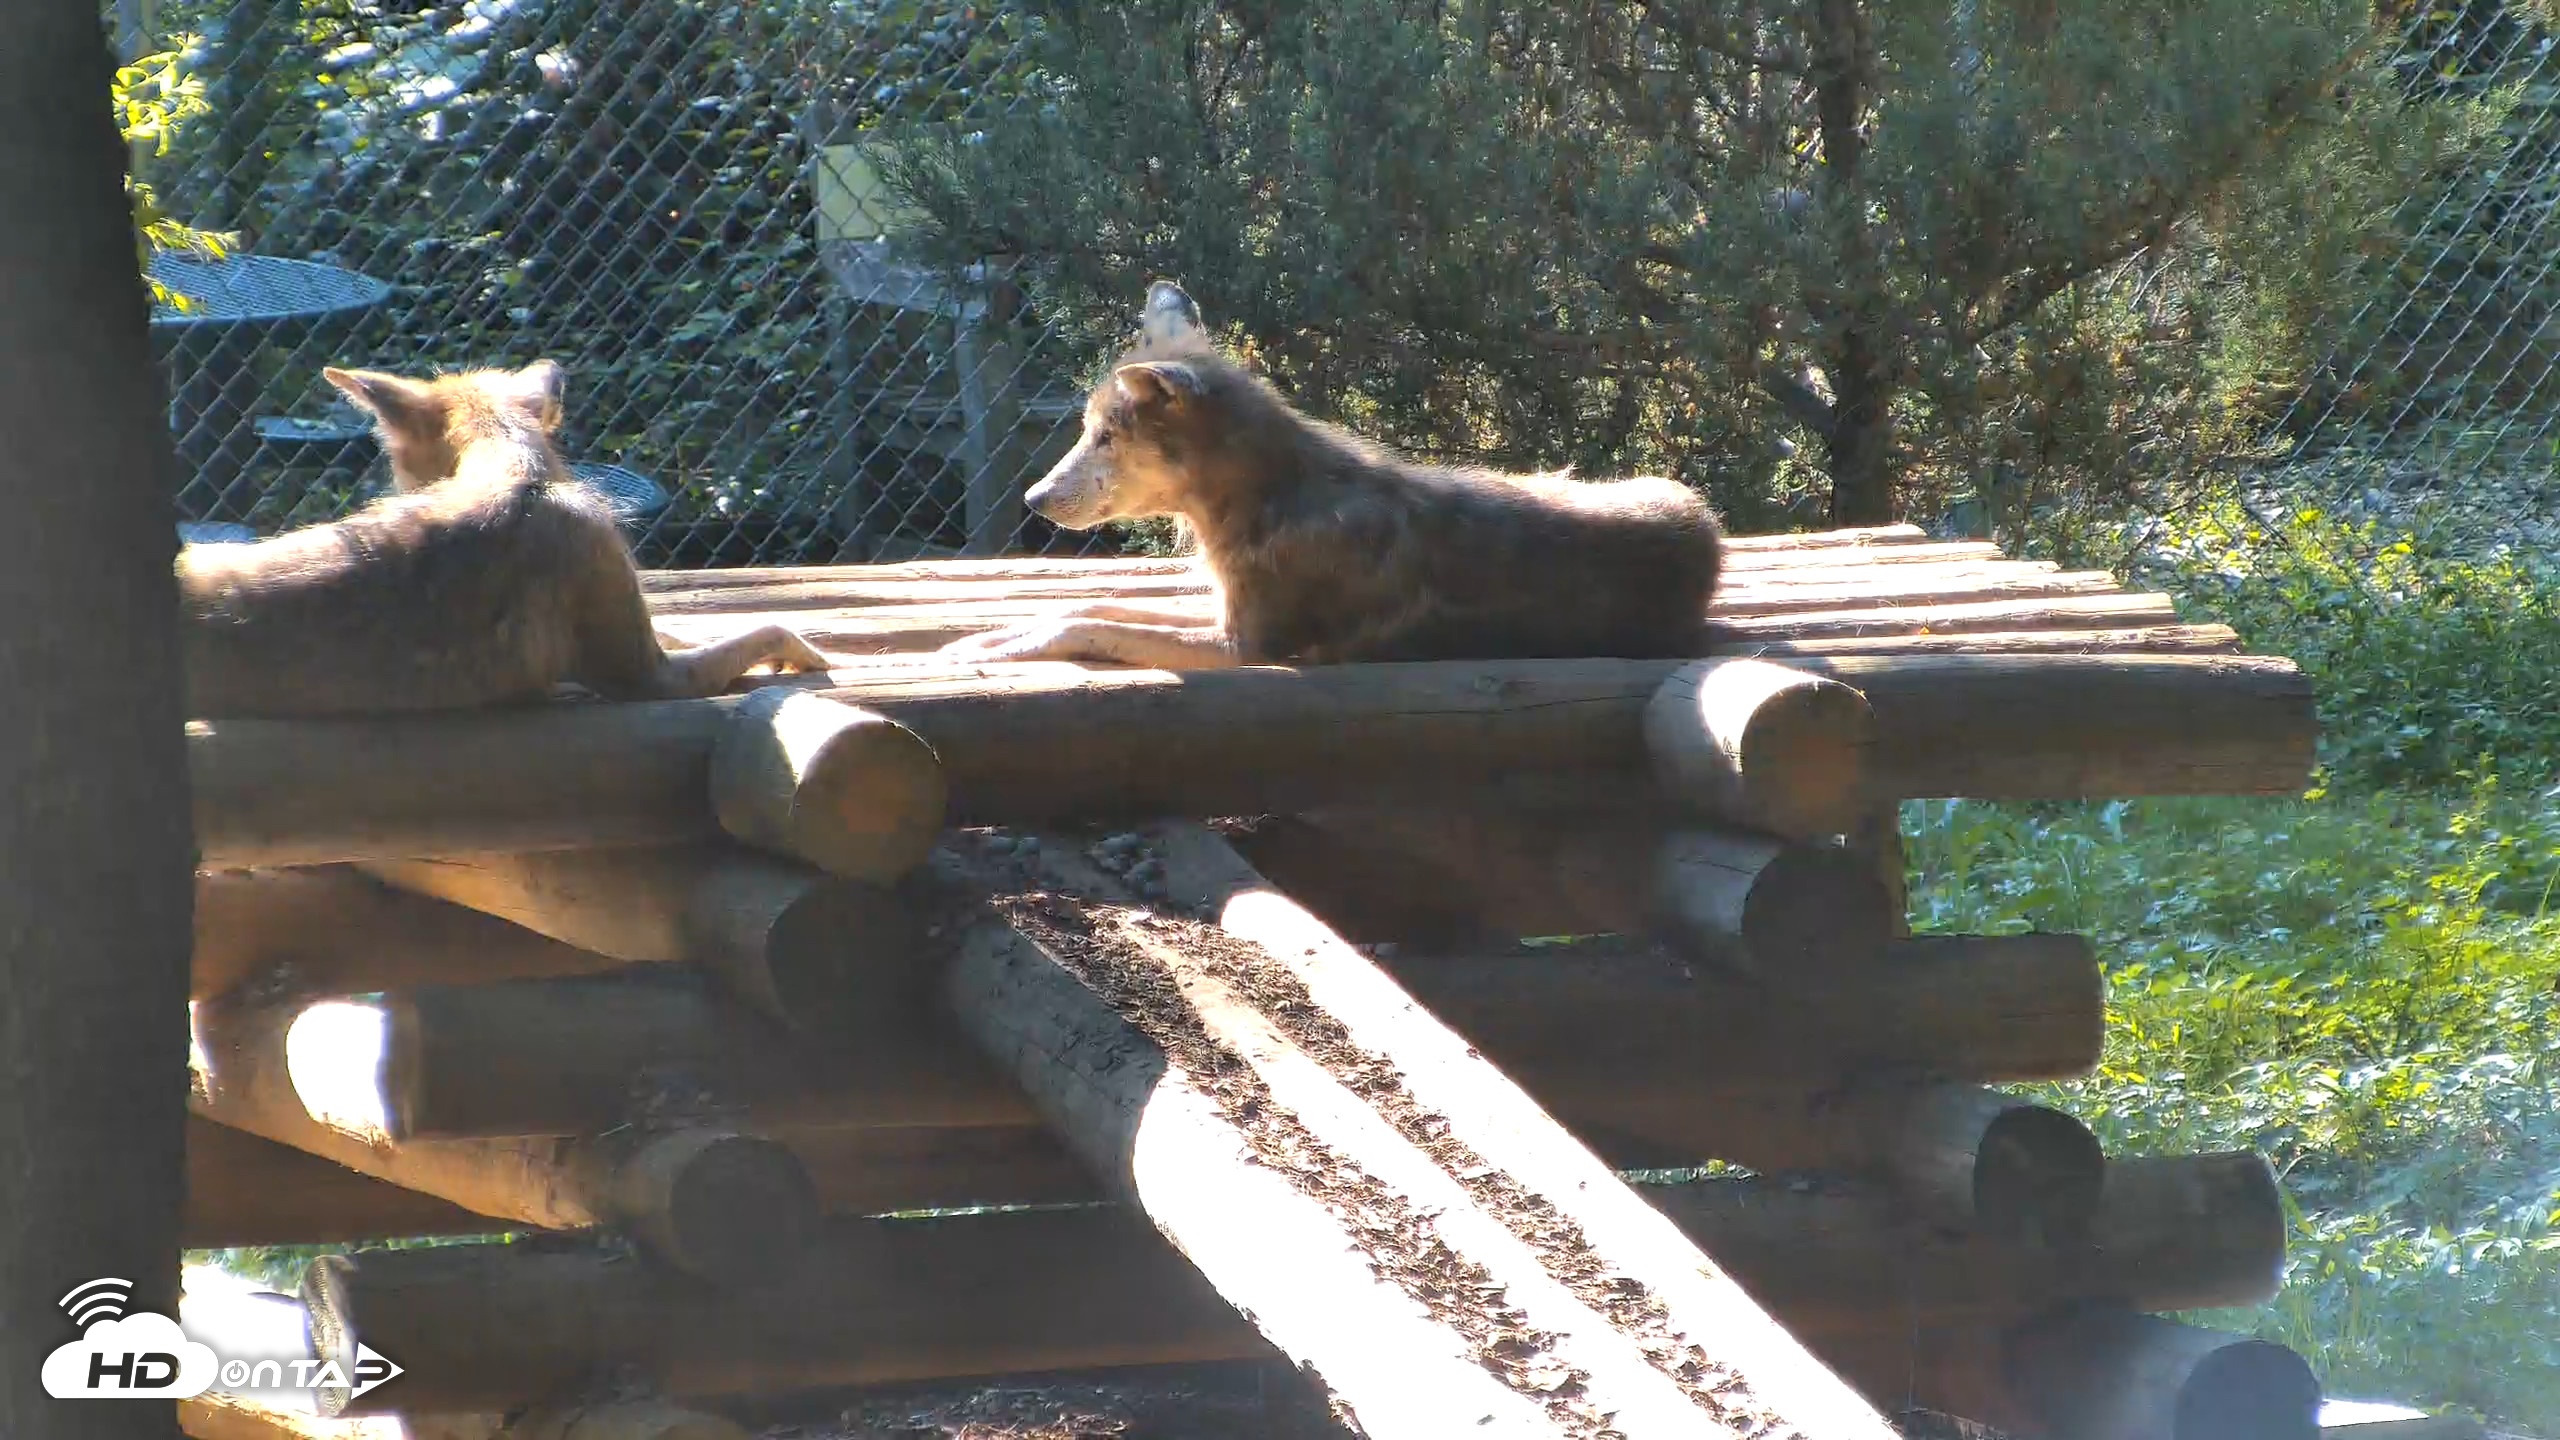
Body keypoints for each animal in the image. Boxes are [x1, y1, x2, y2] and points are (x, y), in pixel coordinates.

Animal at [939, 283, 1725, 670]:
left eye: (1104, 437)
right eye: (1084, 432)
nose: (1033, 498)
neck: (1267, 500)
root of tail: (1706, 527)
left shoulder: (1248, 647)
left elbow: (1089, 622)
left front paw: (994, 647)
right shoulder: (1222, 614)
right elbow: (1088, 607)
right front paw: (983, 639)